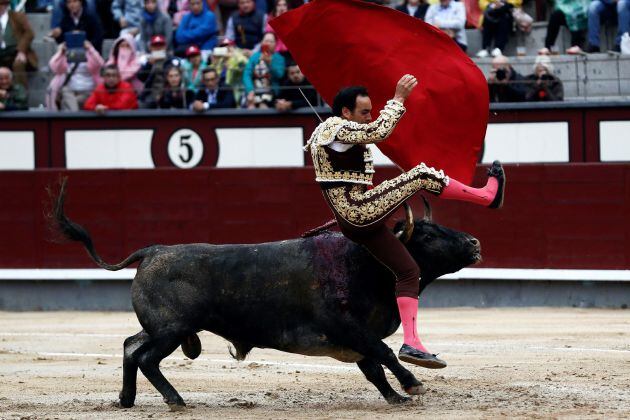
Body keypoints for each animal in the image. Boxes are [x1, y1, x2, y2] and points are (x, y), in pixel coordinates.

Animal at [50, 180, 484, 406]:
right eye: (428, 235)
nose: (475, 242)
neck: (367, 264)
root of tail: (153, 250)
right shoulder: (350, 328)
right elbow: (385, 355)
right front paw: (412, 385)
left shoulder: (356, 338)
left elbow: (374, 367)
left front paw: (396, 398)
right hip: (172, 330)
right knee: (147, 358)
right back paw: (175, 401)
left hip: (161, 327)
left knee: (130, 345)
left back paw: (126, 399)